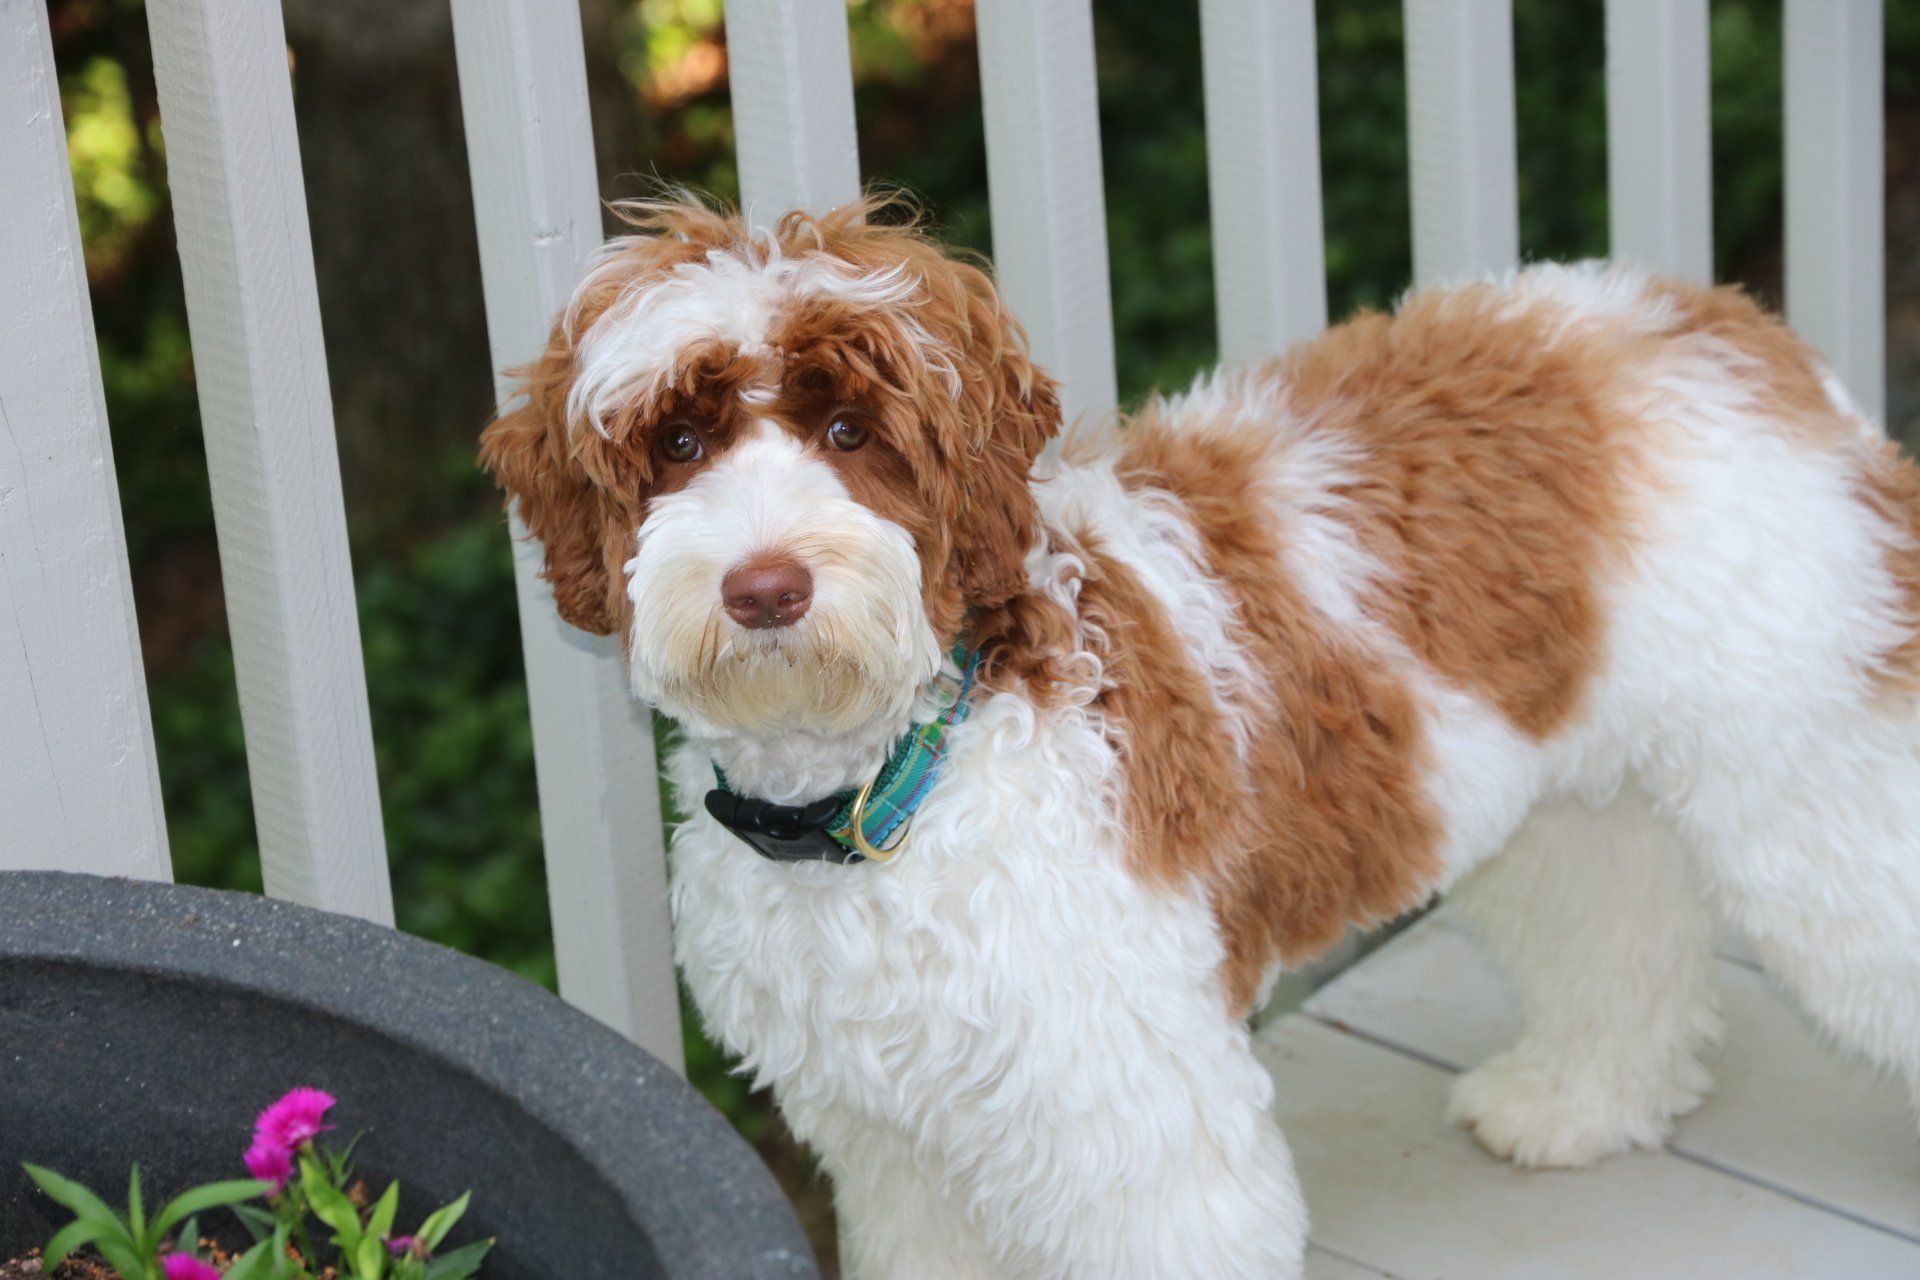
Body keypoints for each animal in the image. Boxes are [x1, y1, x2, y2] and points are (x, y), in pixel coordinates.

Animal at [480, 197, 1920, 1279]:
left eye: (850, 431)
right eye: (677, 440)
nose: (766, 586)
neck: (887, 787)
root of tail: (1723, 319)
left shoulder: (1124, 1109)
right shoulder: (894, 1138)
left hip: (1813, 764)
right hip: (1572, 795)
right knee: (1624, 930)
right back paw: (1581, 1099)